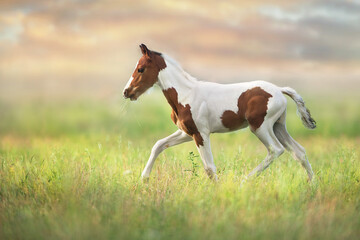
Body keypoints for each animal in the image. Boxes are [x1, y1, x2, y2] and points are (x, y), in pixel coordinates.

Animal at [124, 44, 316, 181]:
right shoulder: (187, 132)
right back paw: (312, 184)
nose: (127, 92)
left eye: (140, 69)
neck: (186, 94)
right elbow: (159, 145)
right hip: (278, 126)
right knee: (299, 152)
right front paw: (144, 179)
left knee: (276, 149)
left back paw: (244, 181)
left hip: (260, 127)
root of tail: (279, 90)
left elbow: (209, 167)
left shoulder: (201, 134)